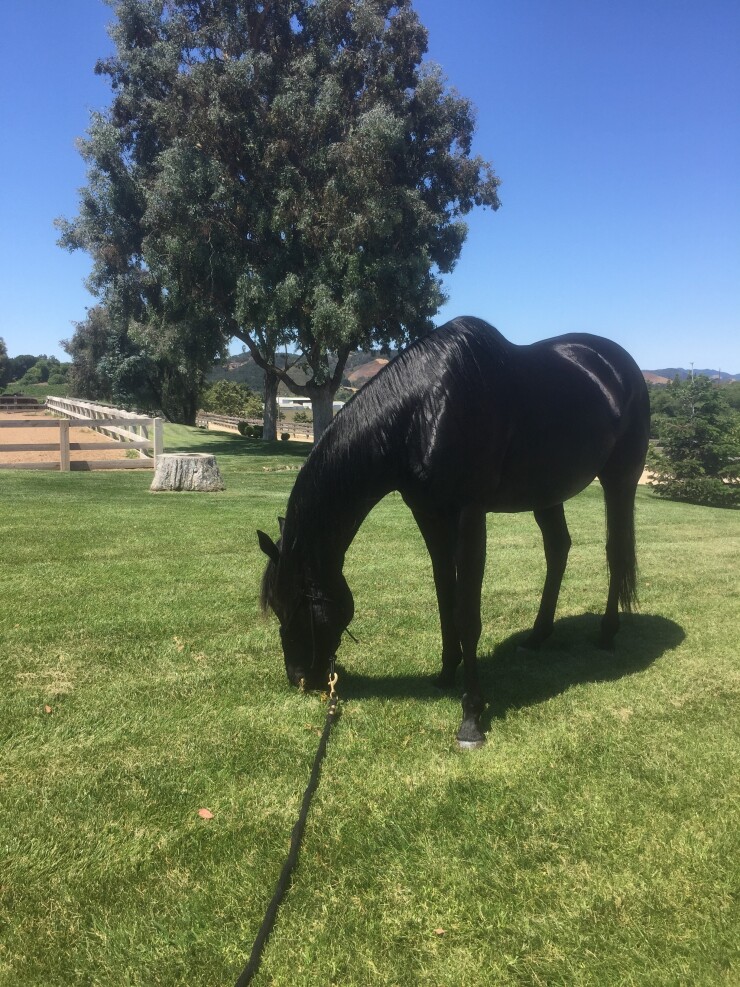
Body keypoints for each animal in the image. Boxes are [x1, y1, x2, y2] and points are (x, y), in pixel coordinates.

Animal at [258, 316, 650, 748]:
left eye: (293, 604)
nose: (299, 678)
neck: (423, 411)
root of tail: (619, 364)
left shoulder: (469, 514)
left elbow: (467, 613)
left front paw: (471, 716)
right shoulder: (428, 514)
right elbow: (445, 596)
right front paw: (446, 674)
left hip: (620, 479)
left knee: (615, 551)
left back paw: (607, 633)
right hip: (547, 492)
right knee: (558, 549)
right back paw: (537, 637)